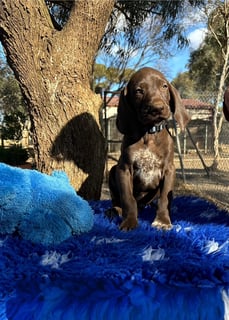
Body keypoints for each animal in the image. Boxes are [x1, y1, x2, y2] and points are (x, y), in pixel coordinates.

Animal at [108, 67, 191, 231]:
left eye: (164, 86)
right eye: (139, 91)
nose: (157, 108)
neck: (148, 133)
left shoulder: (169, 170)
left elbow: (164, 198)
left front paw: (162, 221)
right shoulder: (124, 169)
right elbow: (128, 198)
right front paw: (129, 221)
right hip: (112, 170)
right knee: (118, 200)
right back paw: (115, 210)